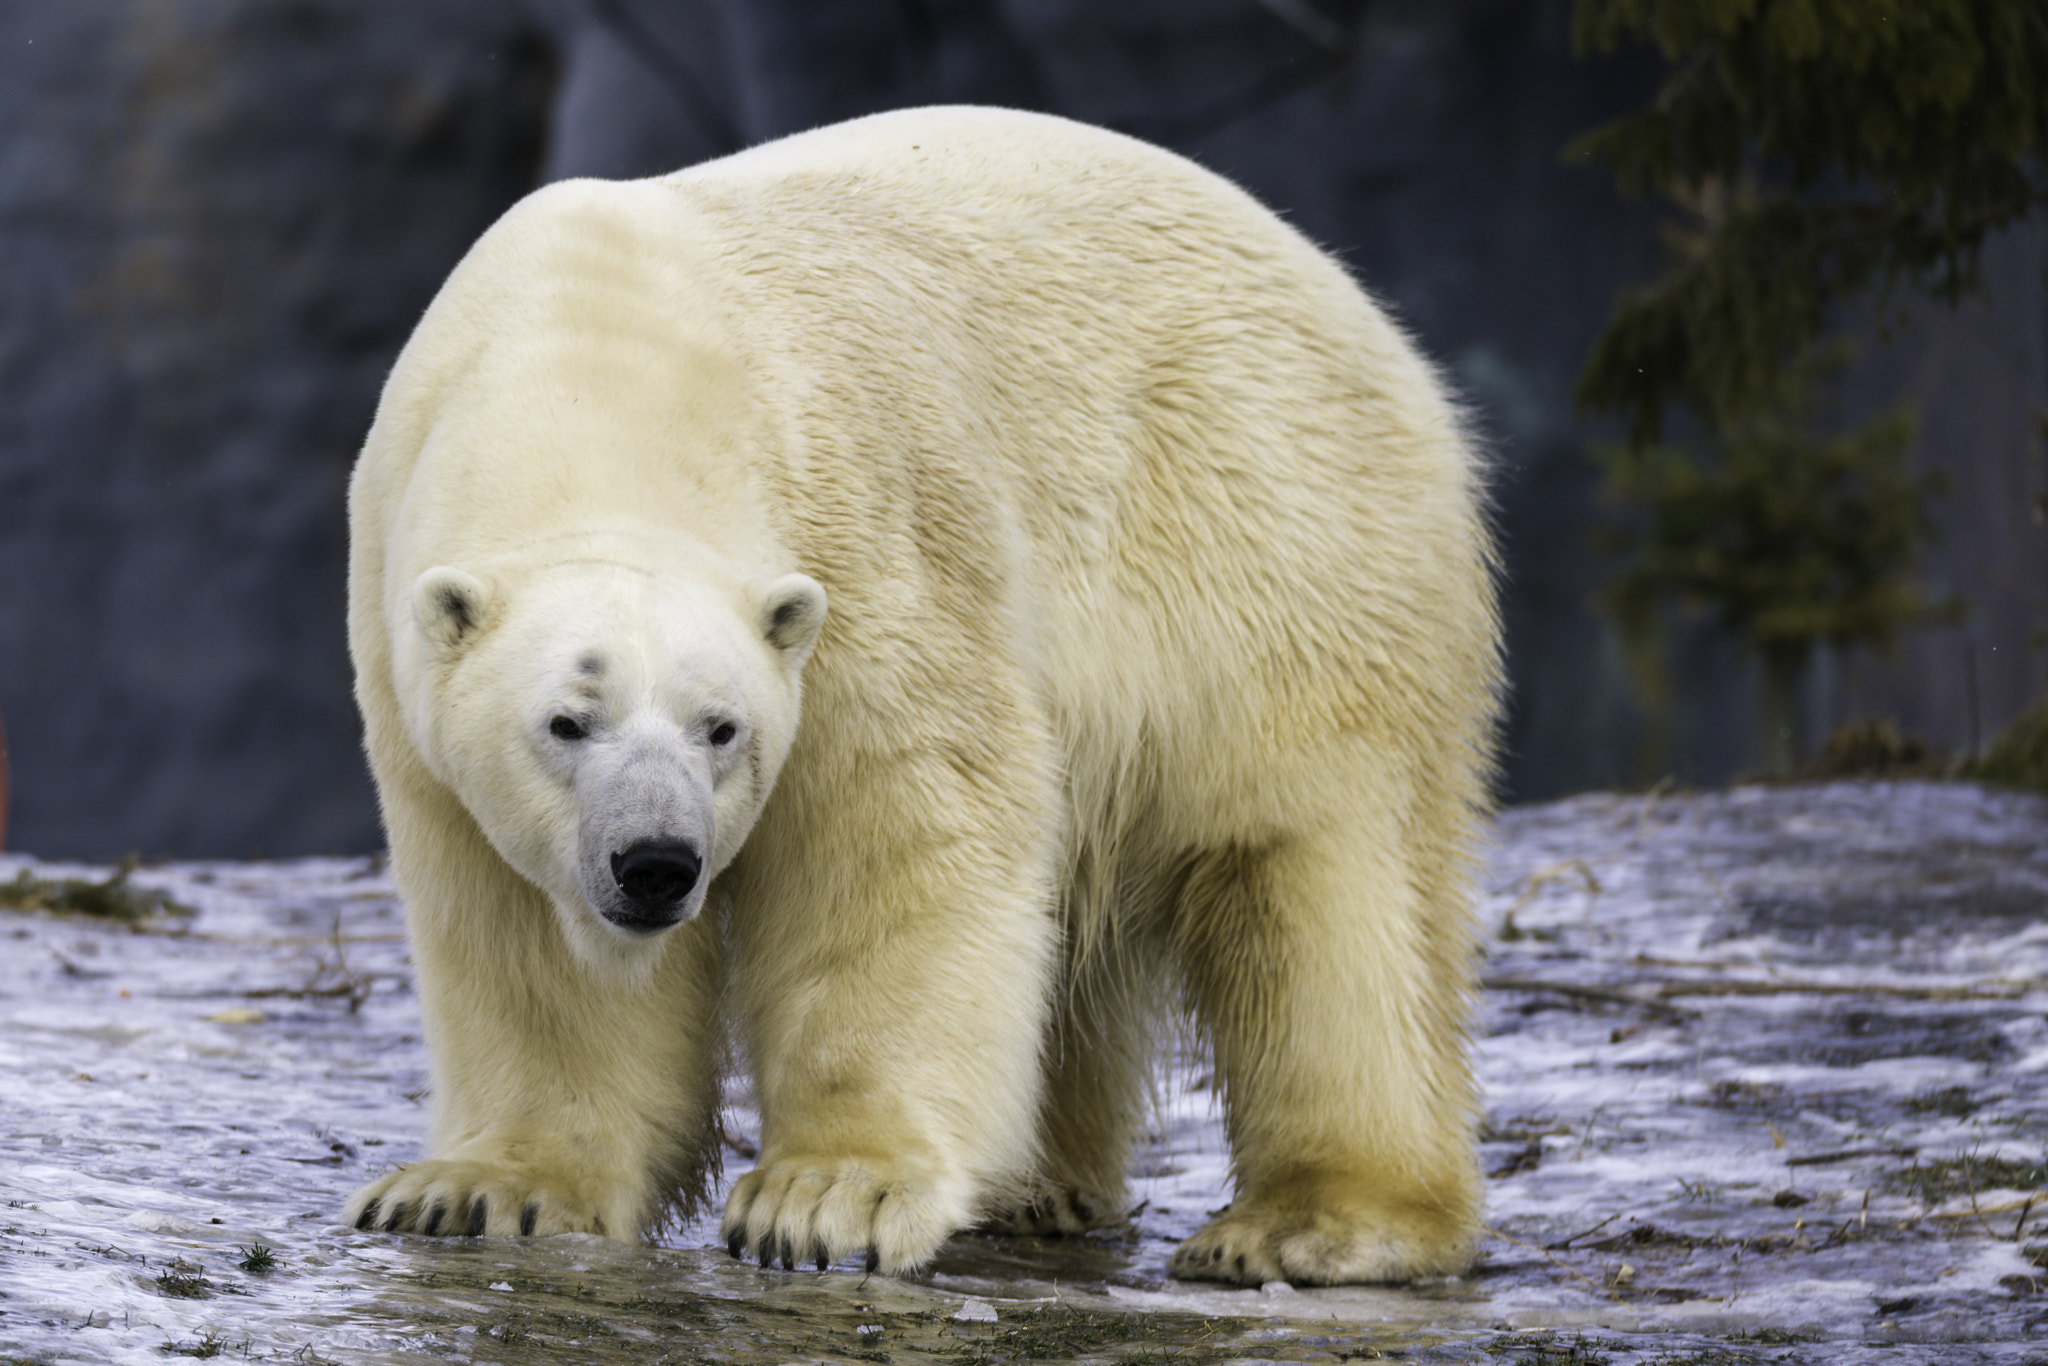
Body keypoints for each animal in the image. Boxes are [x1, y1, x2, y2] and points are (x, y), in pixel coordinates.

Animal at [342, 104, 1498, 1286]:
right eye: (566, 723)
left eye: (724, 729)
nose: (657, 864)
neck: (597, 361)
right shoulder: (406, 663)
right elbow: (524, 930)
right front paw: (476, 1191)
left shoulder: (856, 532)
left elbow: (897, 829)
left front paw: (826, 1196)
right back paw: (1034, 1188)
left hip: (1271, 532)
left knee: (1315, 868)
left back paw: (1316, 1222)